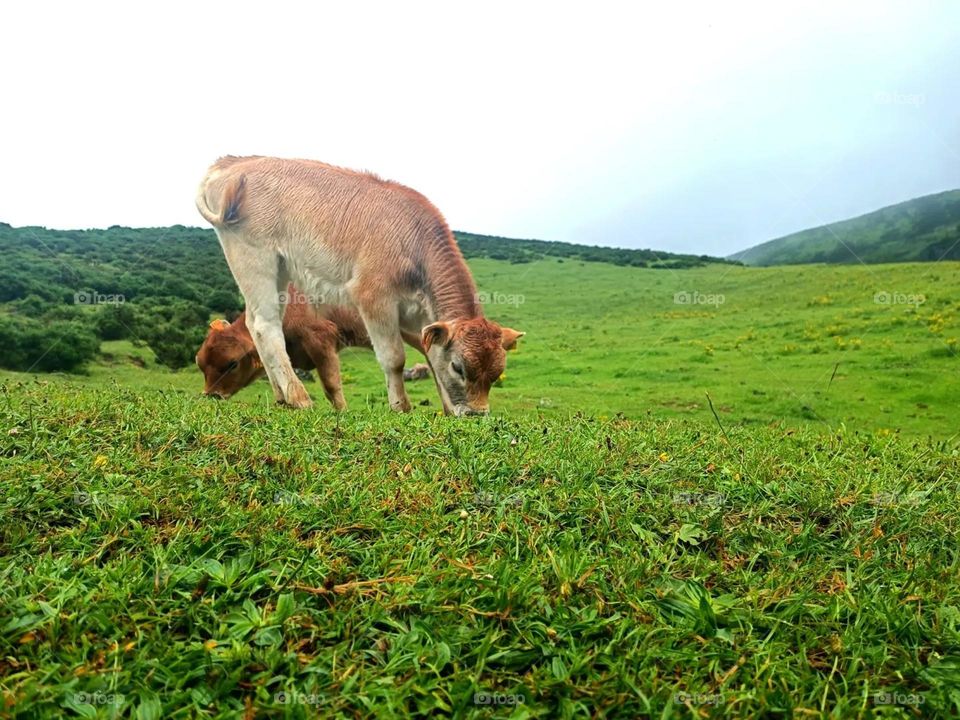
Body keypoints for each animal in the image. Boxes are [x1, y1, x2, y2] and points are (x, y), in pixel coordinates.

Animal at [196, 156, 523, 416]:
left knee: (256, 324)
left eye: (497, 373)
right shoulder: (373, 296)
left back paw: (282, 396)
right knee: (266, 325)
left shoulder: (422, 318)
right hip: (253, 258)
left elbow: (431, 355)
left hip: (279, 271)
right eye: (459, 367)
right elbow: (394, 359)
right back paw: (299, 398)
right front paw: (401, 407)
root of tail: (233, 162)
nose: (476, 415)